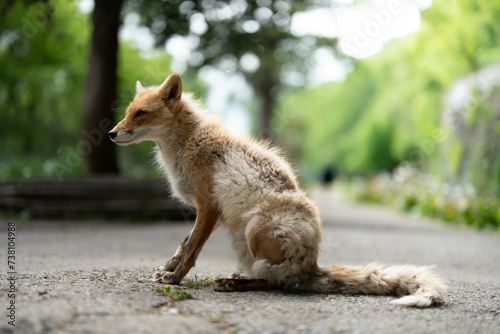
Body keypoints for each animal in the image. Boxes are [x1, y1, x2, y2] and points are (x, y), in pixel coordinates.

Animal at [108, 74, 446, 306]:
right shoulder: (213, 213)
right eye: (127, 111)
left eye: (141, 113)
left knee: (279, 281)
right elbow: (183, 244)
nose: (110, 133)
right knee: (271, 275)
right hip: (240, 235)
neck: (189, 145)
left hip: (254, 227)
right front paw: (167, 268)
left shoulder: (209, 206)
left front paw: (175, 279)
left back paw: (235, 283)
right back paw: (238, 278)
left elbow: (191, 250)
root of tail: (311, 266)